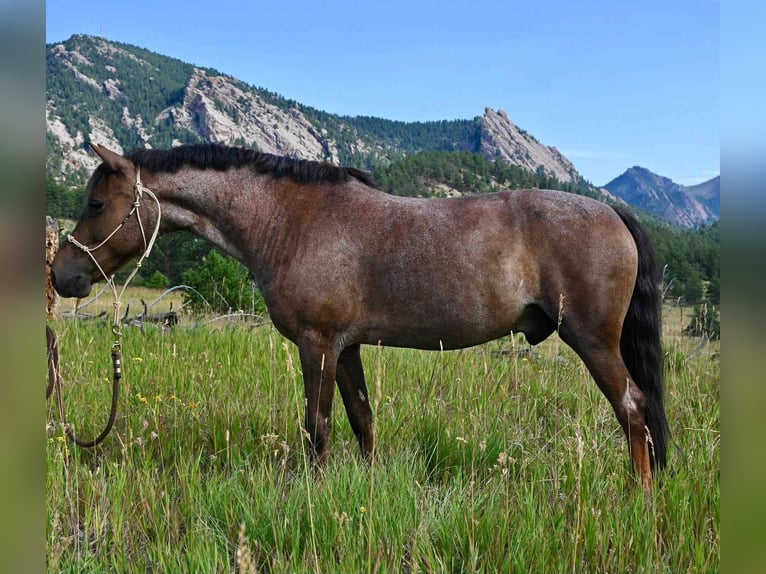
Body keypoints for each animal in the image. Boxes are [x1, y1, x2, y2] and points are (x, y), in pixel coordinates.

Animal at [51, 143, 669, 490]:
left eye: (96, 203)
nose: (63, 275)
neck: (289, 220)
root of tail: (611, 210)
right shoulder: (345, 347)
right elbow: (362, 420)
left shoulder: (317, 345)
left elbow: (317, 427)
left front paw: (314, 494)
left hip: (594, 342)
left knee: (633, 409)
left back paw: (638, 496)